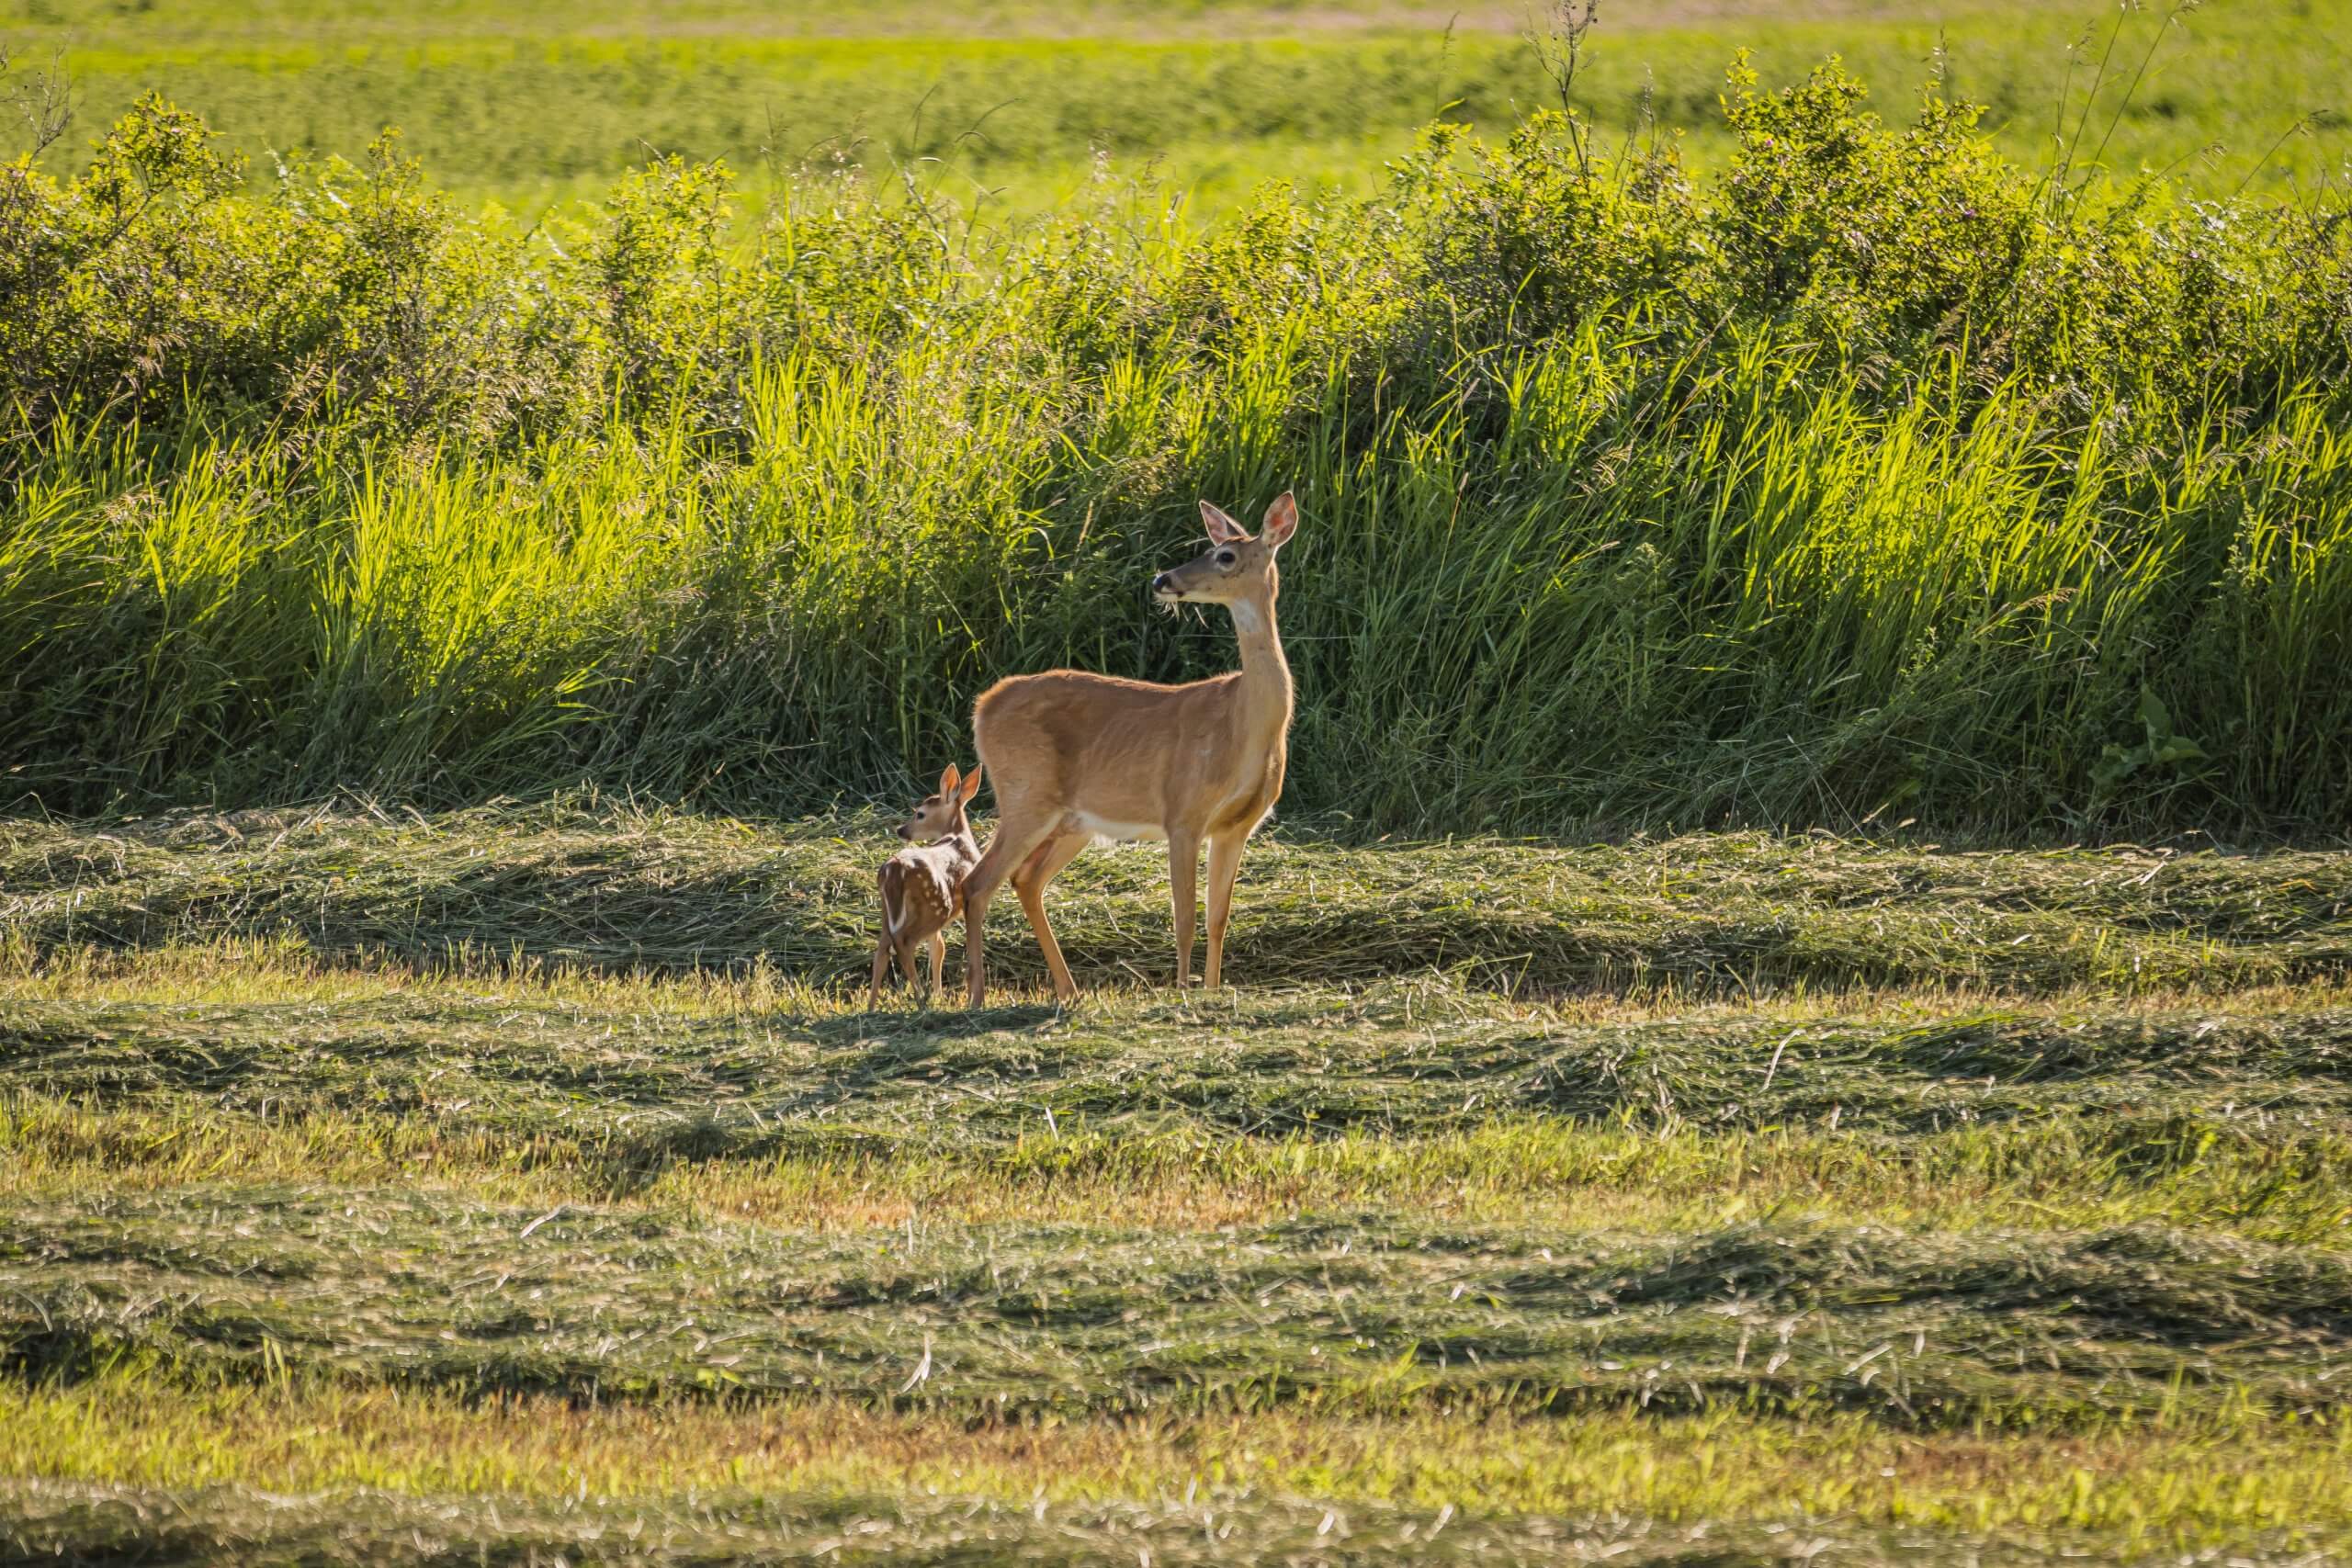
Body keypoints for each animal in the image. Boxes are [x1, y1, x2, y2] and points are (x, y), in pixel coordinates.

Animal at [968, 491, 1307, 1006]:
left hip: (1072, 821)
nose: (1161, 580)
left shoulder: (1237, 826)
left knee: (1024, 879)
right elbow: (1184, 919)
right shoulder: (1183, 812)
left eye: (1225, 556)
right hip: (1025, 795)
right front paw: (1183, 993)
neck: (1242, 725)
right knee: (976, 883)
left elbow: (1218, 919)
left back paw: (1068, 991)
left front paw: (1211, 992)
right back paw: (975, 999)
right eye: (1210, 549)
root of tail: (983, 706)